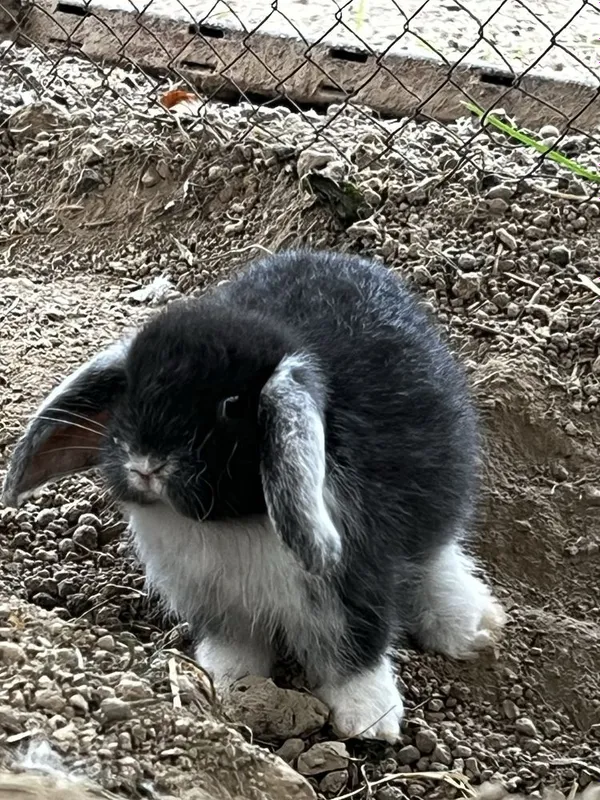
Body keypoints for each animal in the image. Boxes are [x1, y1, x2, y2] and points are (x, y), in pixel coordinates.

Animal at [1, 249, 505, 744]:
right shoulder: (218, 605)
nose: (146, 464)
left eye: (231, 406)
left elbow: (354, 650)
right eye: (130, 388)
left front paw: (370, 720)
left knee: (437, 558)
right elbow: (235, 648)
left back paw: (474, 626)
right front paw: (228, 684)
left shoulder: (350, 585)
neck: (233, 523)